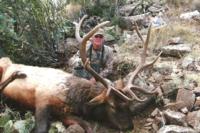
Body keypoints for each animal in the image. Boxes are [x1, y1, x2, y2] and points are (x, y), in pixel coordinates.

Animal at [0, 16, 161, 132]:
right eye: (112, 106)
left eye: (128, 104)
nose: (129, 127)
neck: (72, 98)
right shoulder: (41, 102)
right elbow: (41, 128)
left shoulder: (64, 114)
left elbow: (87, 126)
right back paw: (16, 75)